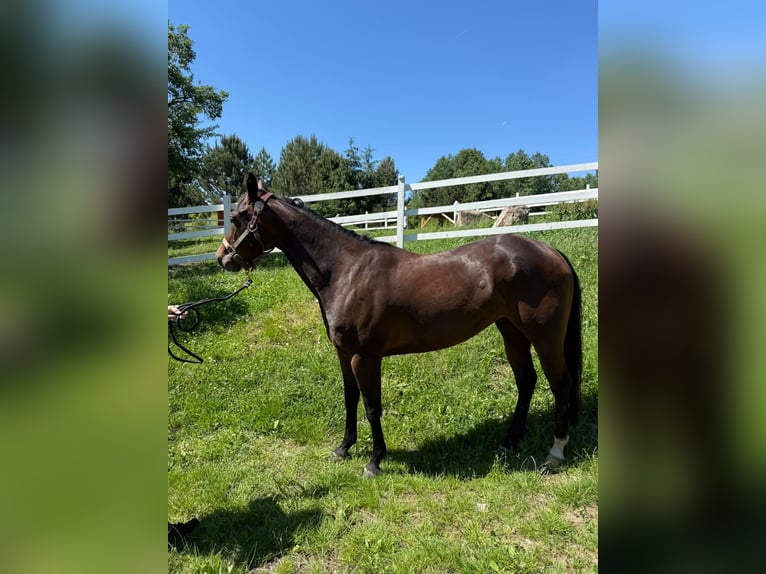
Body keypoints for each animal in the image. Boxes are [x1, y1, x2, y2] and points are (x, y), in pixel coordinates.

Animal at [216, 174, 582, 477]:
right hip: (512, 332)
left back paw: (555, 452)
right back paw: (509, 442)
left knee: (560, 383)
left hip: (545, 337)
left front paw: (375, 461)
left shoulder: (365, 358)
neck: (346, 271)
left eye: (235, 218)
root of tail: (551, 251)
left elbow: (371, 407)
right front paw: (343, 448)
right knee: (527, 381)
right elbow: (350, 399)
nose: (223, 258)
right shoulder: (343, 355)